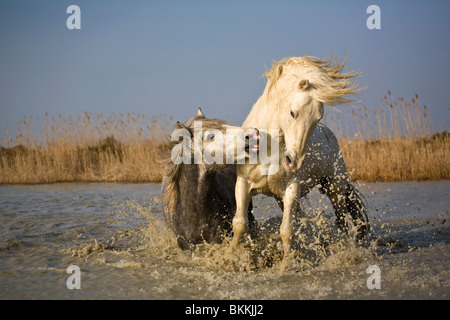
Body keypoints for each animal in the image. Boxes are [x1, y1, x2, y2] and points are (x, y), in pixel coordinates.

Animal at [232, 55, 370, 258]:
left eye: (318, 118)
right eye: (292, 113)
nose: (293, 162)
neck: (268, 147)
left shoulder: (292, 189)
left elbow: (287, 231)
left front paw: (287, 262)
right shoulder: (243, 184)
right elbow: (240, 224)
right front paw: (230, 253)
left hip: (335, 188)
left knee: (342, 223)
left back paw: (343, 249)